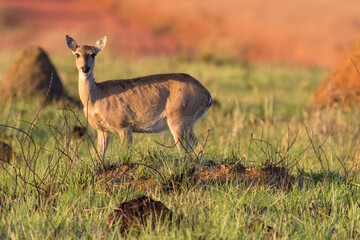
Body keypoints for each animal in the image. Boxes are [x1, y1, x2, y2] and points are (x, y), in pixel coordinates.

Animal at [66, 35, 212, 159]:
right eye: (77, 54)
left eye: (93, 54)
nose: (85, 68)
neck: (96, 97)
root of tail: (207, 95)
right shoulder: (103, 130)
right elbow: (99, 155)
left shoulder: (124, 125)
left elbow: (126, 153)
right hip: (188, 125)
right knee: (199, 148)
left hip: (178, 119)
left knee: (185, 152)